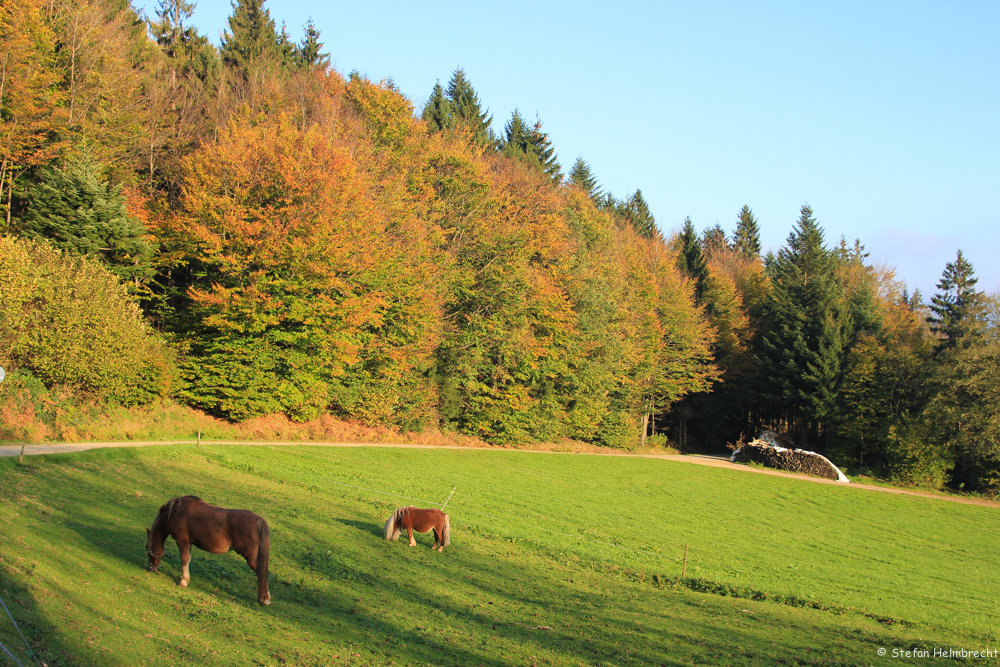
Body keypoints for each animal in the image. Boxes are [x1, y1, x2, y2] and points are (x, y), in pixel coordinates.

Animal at [143, 496, 272, 604]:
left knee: (261, 573)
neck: (175, 512)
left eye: (148, 551)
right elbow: (188, 559)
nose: (151, 568)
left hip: (251, 558)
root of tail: (257, 519)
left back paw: (264, 598)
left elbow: (184, 559)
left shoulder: (182, 541)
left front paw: (183, 581)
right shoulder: (189, 543)